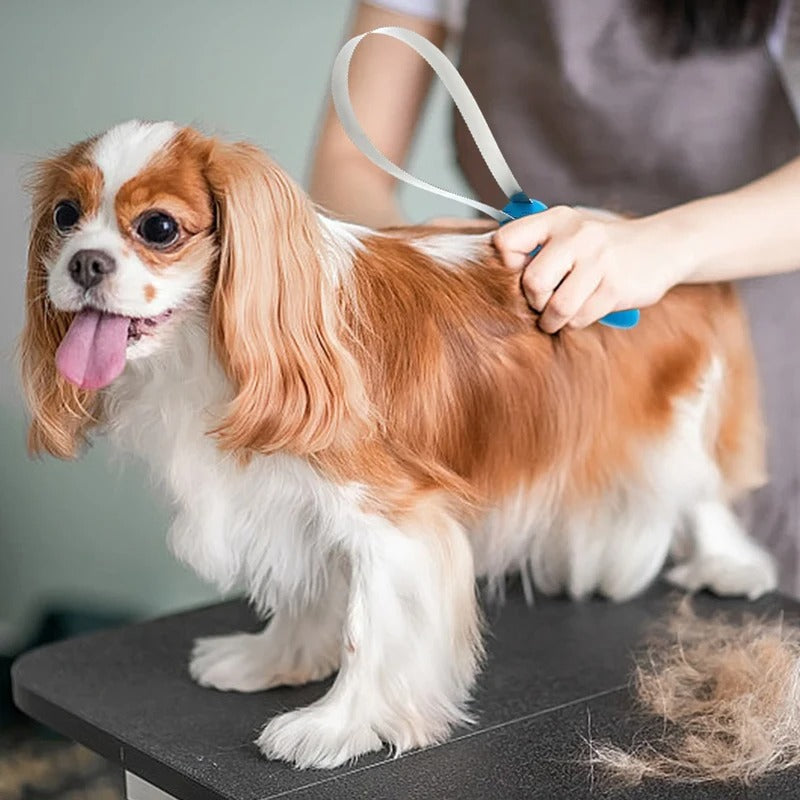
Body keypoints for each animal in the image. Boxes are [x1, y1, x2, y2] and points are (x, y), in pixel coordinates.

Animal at [18, 120, 780, 768]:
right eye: (64, 217)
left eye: (159, 227)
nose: (84, 264)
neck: (209, 350)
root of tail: (642, 236)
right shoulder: (287, 501)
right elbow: (303, 592)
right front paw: (273, 661)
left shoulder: (393, 521)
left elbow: (370, 631)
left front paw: (335, 727)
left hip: (675, 421)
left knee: (702, 492)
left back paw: (727, 564)